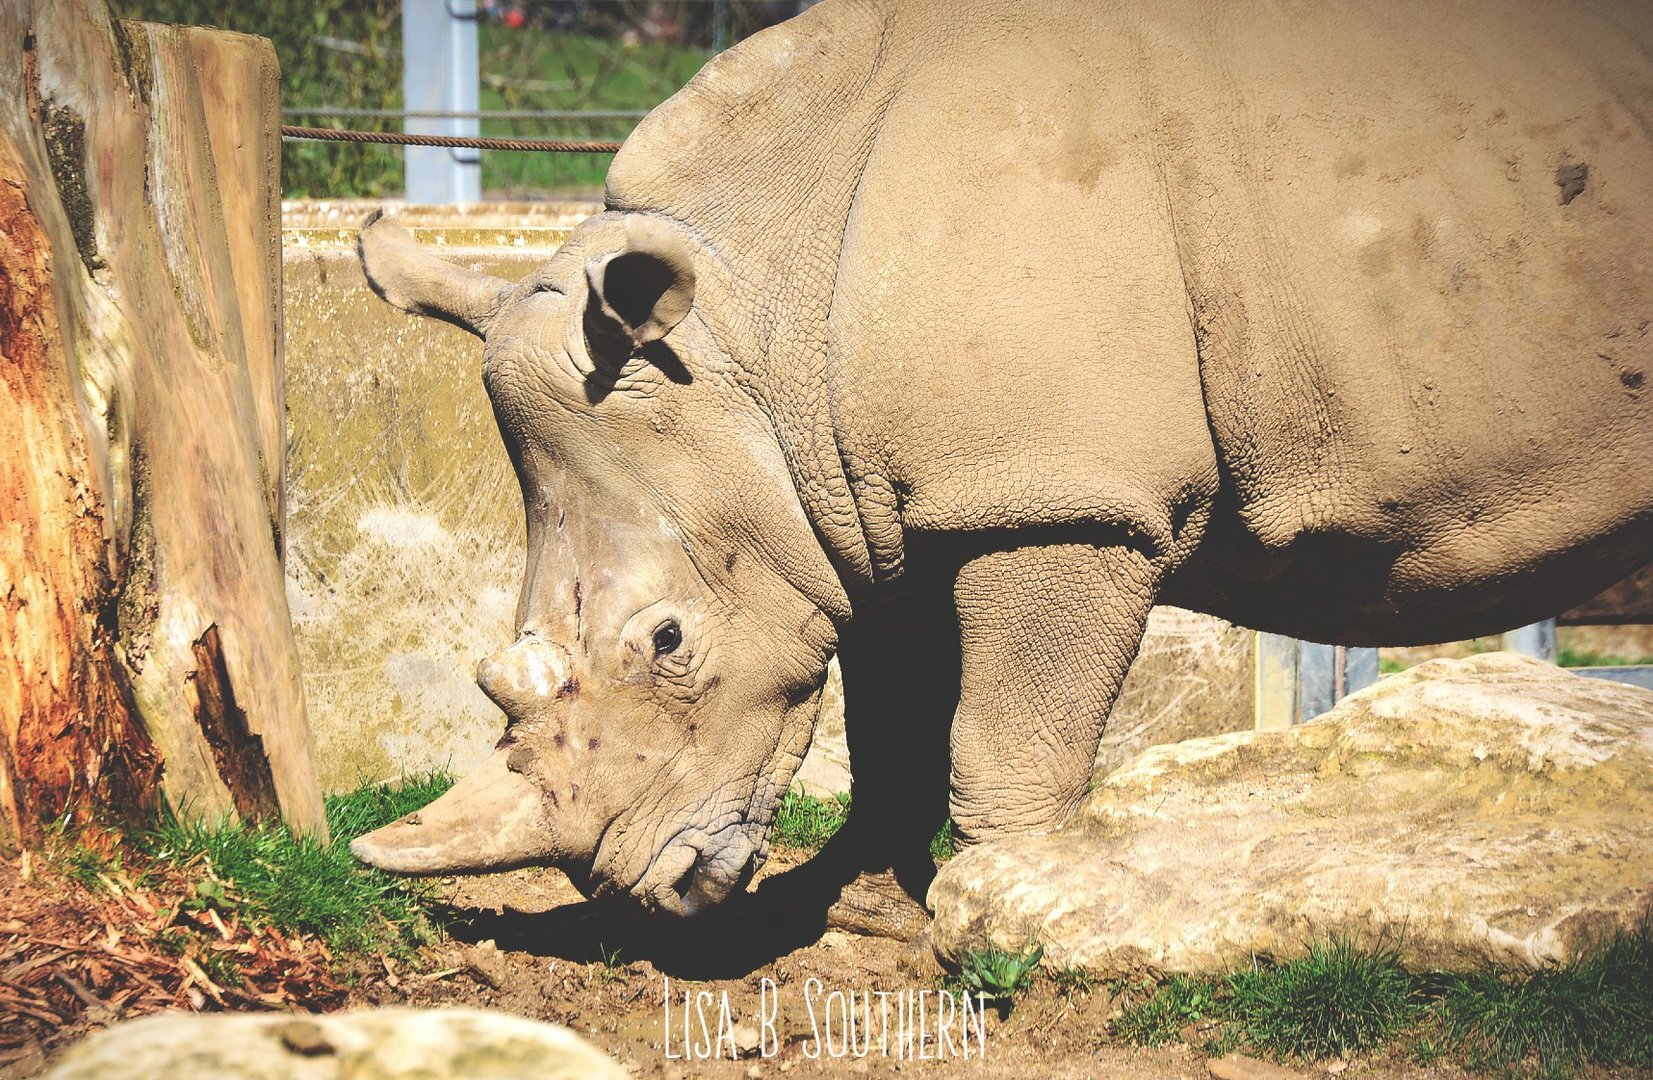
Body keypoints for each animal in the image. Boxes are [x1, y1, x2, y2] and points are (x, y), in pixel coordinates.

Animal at [351, 0, 1653, 925]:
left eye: (667, 644)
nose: (637, 892)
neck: (751, 317)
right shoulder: (869, 502)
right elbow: (891, 712)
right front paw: (871, 912)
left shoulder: (1057, 495)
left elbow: (1005, 727)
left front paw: (1014, 911)